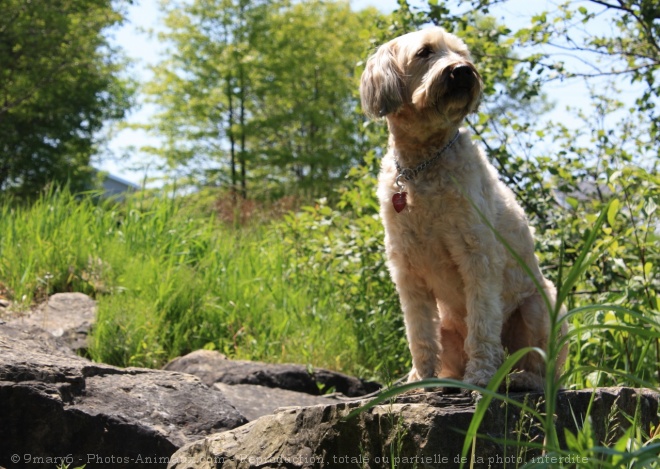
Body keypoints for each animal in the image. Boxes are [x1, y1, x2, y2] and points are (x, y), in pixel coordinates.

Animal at [358, 27, 564, 390]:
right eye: (424, 52)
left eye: (463, 54)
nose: (463, 72)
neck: (423, 163)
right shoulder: (407, 270)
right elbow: (419, 334)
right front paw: (419, 378)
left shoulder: (478, 257)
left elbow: (482, 324)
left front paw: (479, 377)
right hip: (449, 324)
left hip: (541, 307)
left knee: (542, 365)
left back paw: (523, 378)